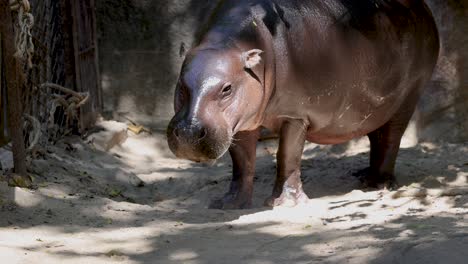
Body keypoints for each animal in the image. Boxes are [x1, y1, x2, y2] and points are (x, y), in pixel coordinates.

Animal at [167, 0, 438, 208]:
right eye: (180, 84)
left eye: (227, 89)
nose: (189, 132)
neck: (235, 44)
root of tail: (421, 6)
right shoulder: (241, 122)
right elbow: (241, 162)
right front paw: (229, 204)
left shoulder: (295, 114)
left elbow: (287, 156)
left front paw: (283, 204)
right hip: (374, 108)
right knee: (376, 137)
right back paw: (363, 177)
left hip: (408, 97)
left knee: (392, 138)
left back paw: (380, 183)